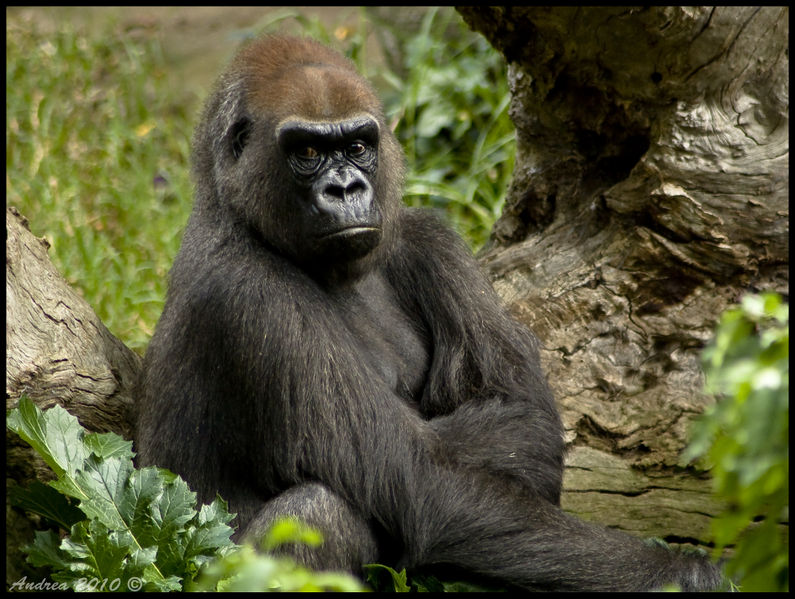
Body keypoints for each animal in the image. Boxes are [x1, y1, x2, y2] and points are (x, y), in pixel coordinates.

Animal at [136, 35, 724, 591]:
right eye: (307, 151)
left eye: (357, 146)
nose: (345, 189)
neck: (235, 211)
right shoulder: (248, 297)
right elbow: (426, 484)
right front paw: (685, 573)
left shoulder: (427, 237)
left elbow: (517, 414)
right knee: (319, 511)